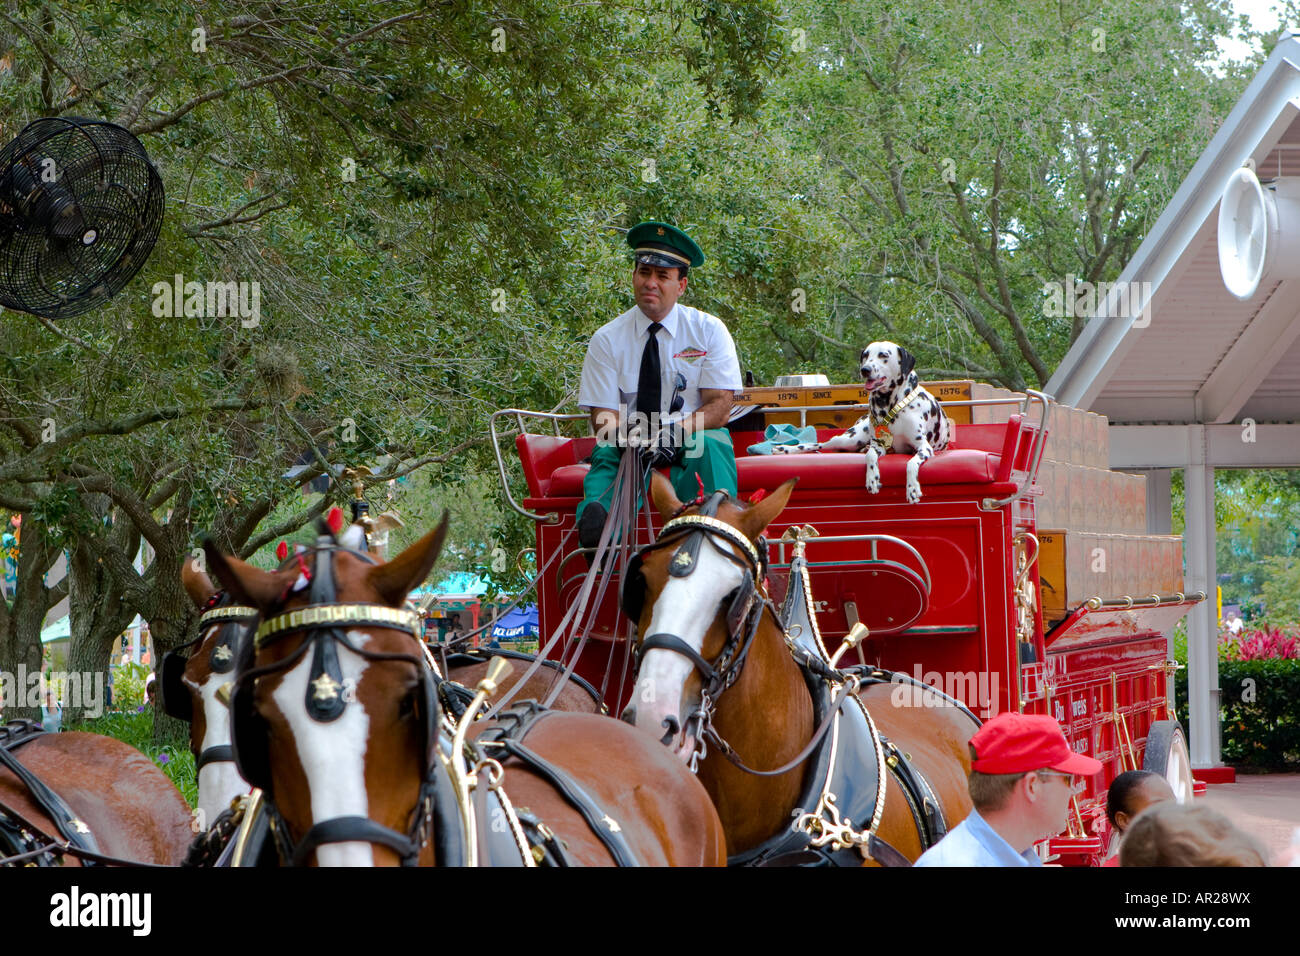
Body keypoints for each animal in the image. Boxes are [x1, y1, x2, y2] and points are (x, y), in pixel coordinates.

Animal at [774, 343, 951, 509]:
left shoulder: (924, 447)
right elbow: (871, 456)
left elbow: (911, 463)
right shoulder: (878, 445)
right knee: (820, 444)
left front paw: (912, 487)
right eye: (865, 355)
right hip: (849, 439)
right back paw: (784, 449)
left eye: (883, 355)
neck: (889, 405)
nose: (865, 369)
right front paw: (872, 478)